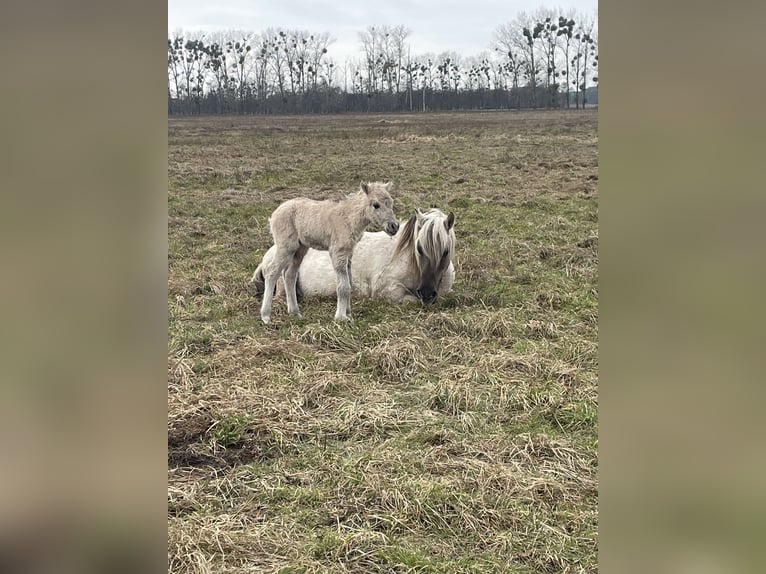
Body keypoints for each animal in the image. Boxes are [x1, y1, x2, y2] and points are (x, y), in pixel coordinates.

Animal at [260, 182, 400, 324]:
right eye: (376, 205)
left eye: (391, 202)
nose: (394, 226)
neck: (348, 218)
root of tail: (275, 214)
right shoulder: (337, 253)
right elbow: (343, 286)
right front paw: (341, 317)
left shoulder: (348, 254)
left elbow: (349, 283)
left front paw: (348, 313)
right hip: (286, 247)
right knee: (272, 272)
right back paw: (266, 316)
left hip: (300, 249)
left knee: (289, 275)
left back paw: (295, 313)